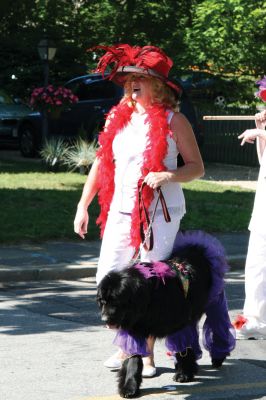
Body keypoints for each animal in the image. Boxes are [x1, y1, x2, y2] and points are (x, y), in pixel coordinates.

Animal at [97, 230, 235, 398]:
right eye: (102, 301)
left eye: (116, 301)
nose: (104, 319)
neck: (148, 297)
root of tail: (198, 248)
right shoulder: (134, 329)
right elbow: (133, 359)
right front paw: (129, 387)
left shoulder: (179, 321)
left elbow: (183, 349)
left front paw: (184, 374)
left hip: (215, 301)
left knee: (218, 325)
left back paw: (218, 356)